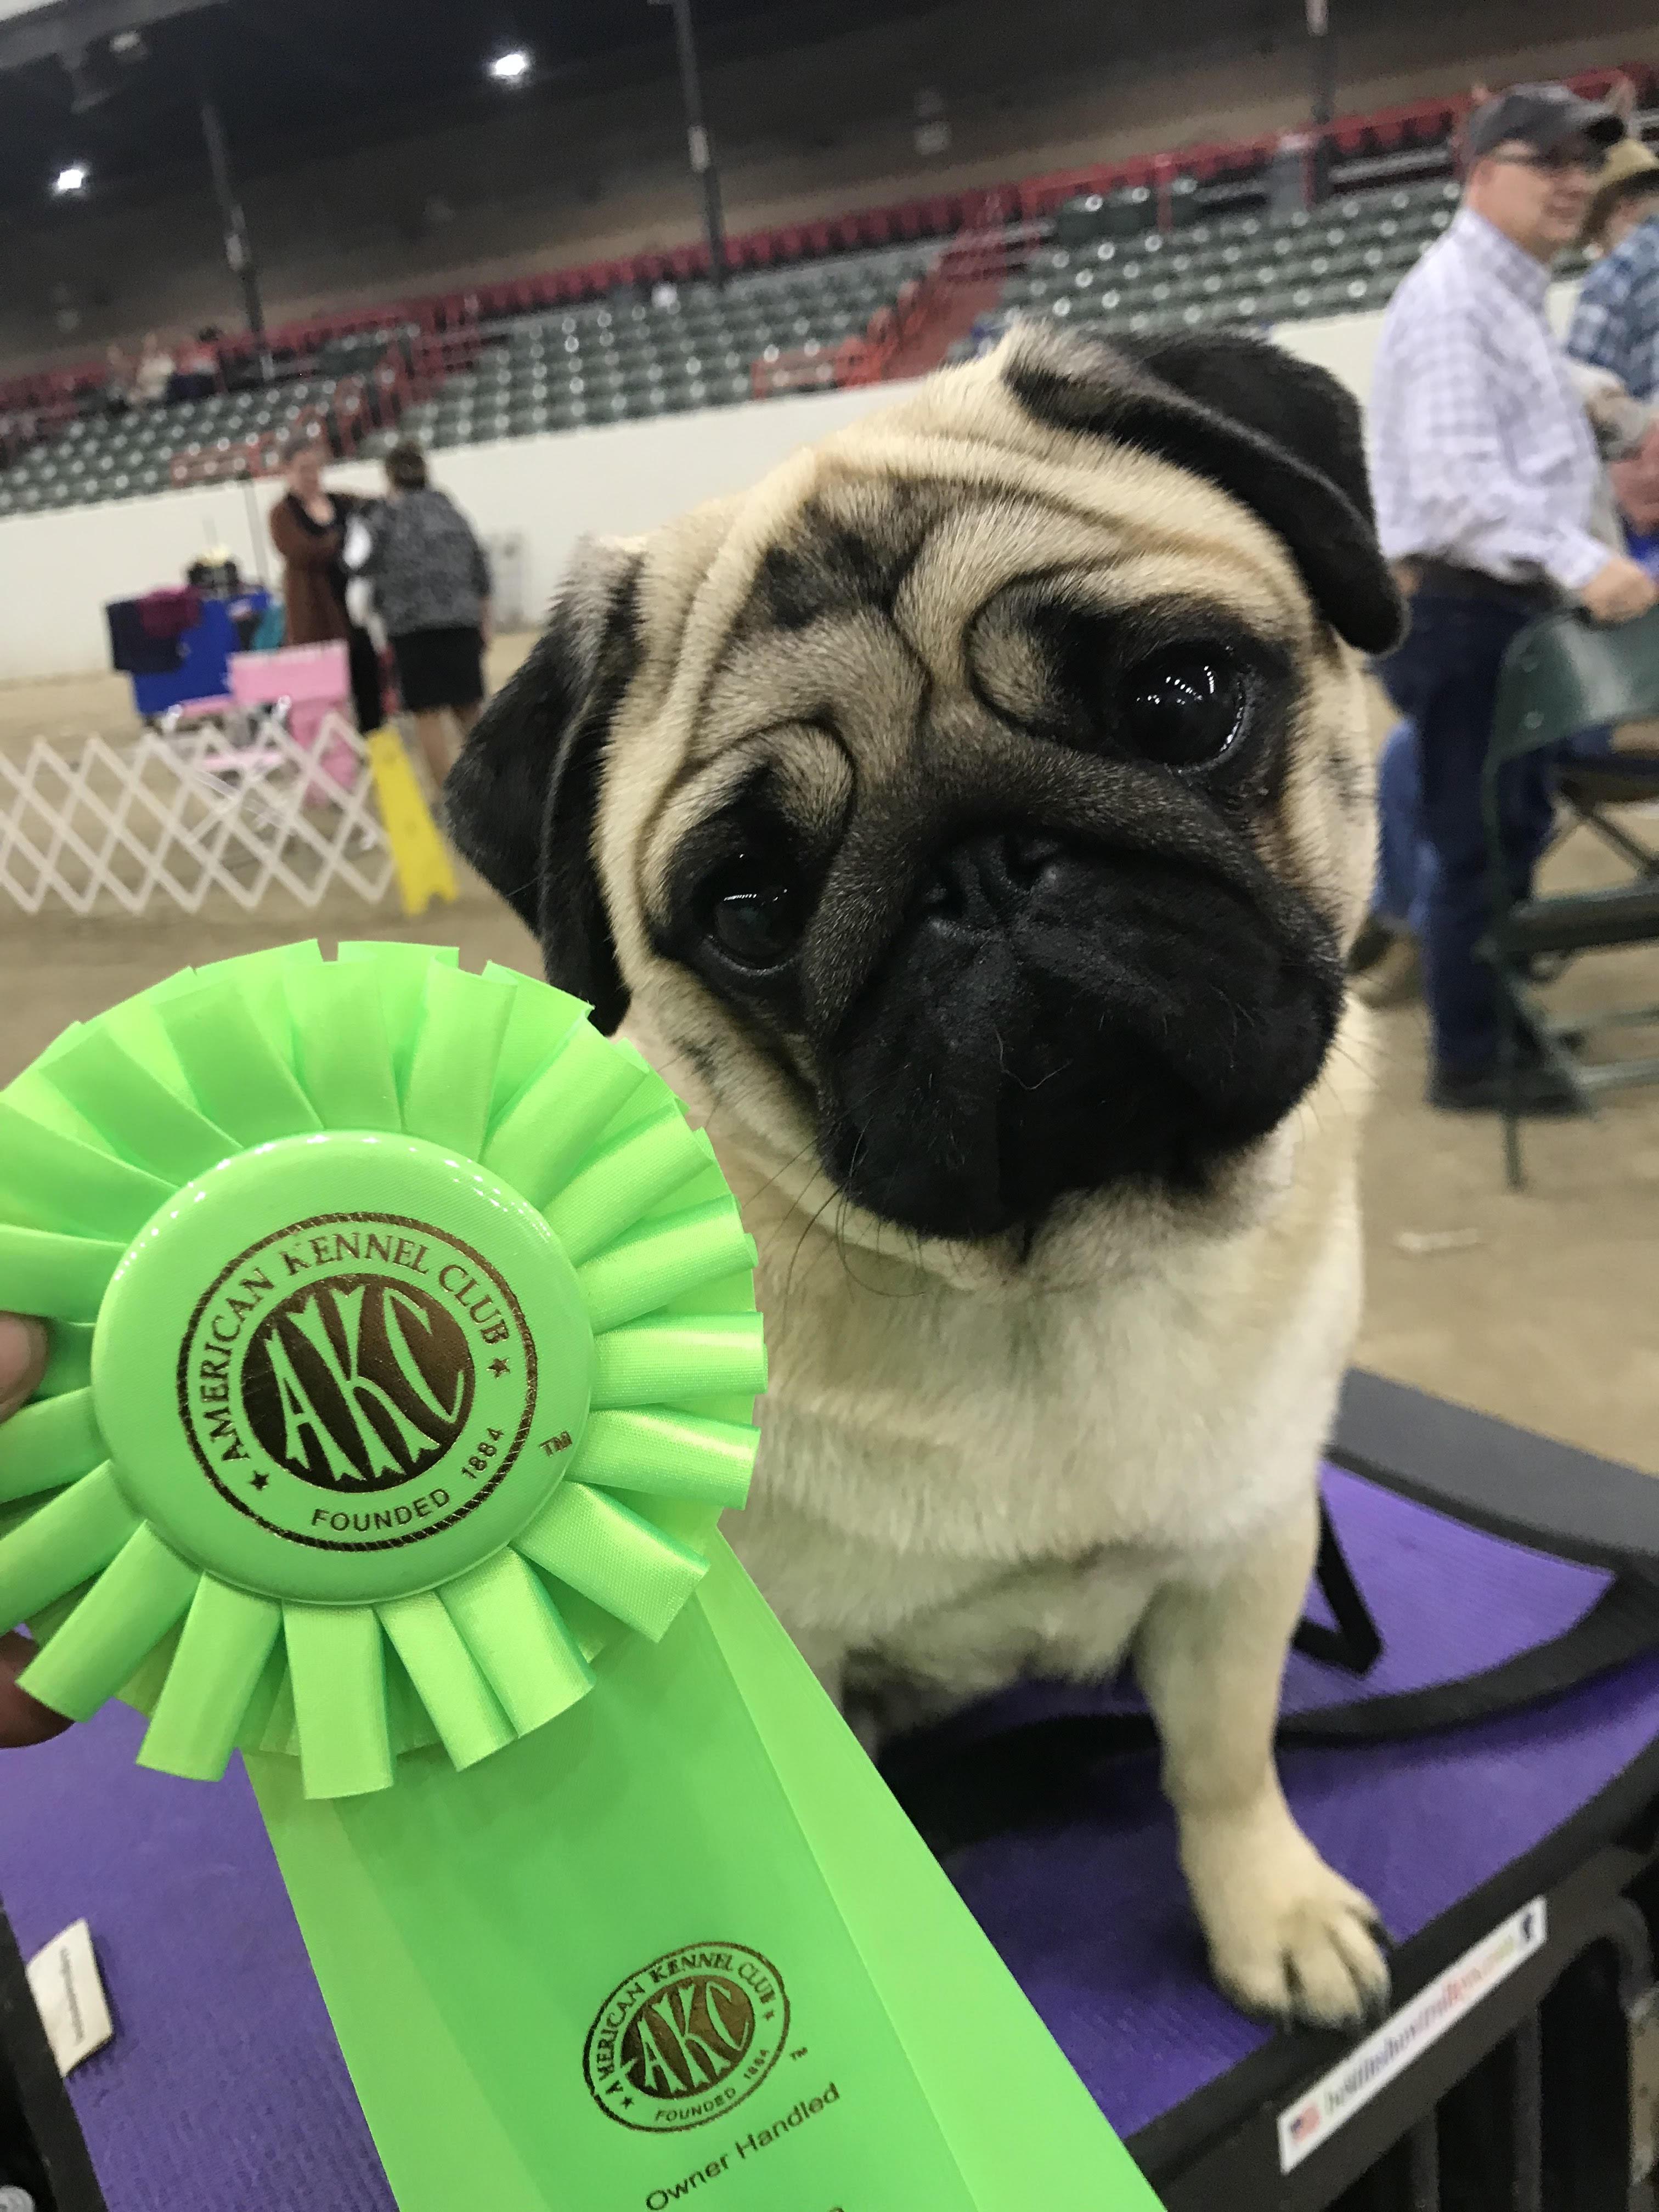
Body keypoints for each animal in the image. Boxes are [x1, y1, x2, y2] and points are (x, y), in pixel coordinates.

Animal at [445, 322, 1404, 2028]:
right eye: (750, 905)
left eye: (1178, 701)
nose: (984, 867)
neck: (1064, 1276)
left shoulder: (1245, 1554)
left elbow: (1226, 1763)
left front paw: (1269, 1909)